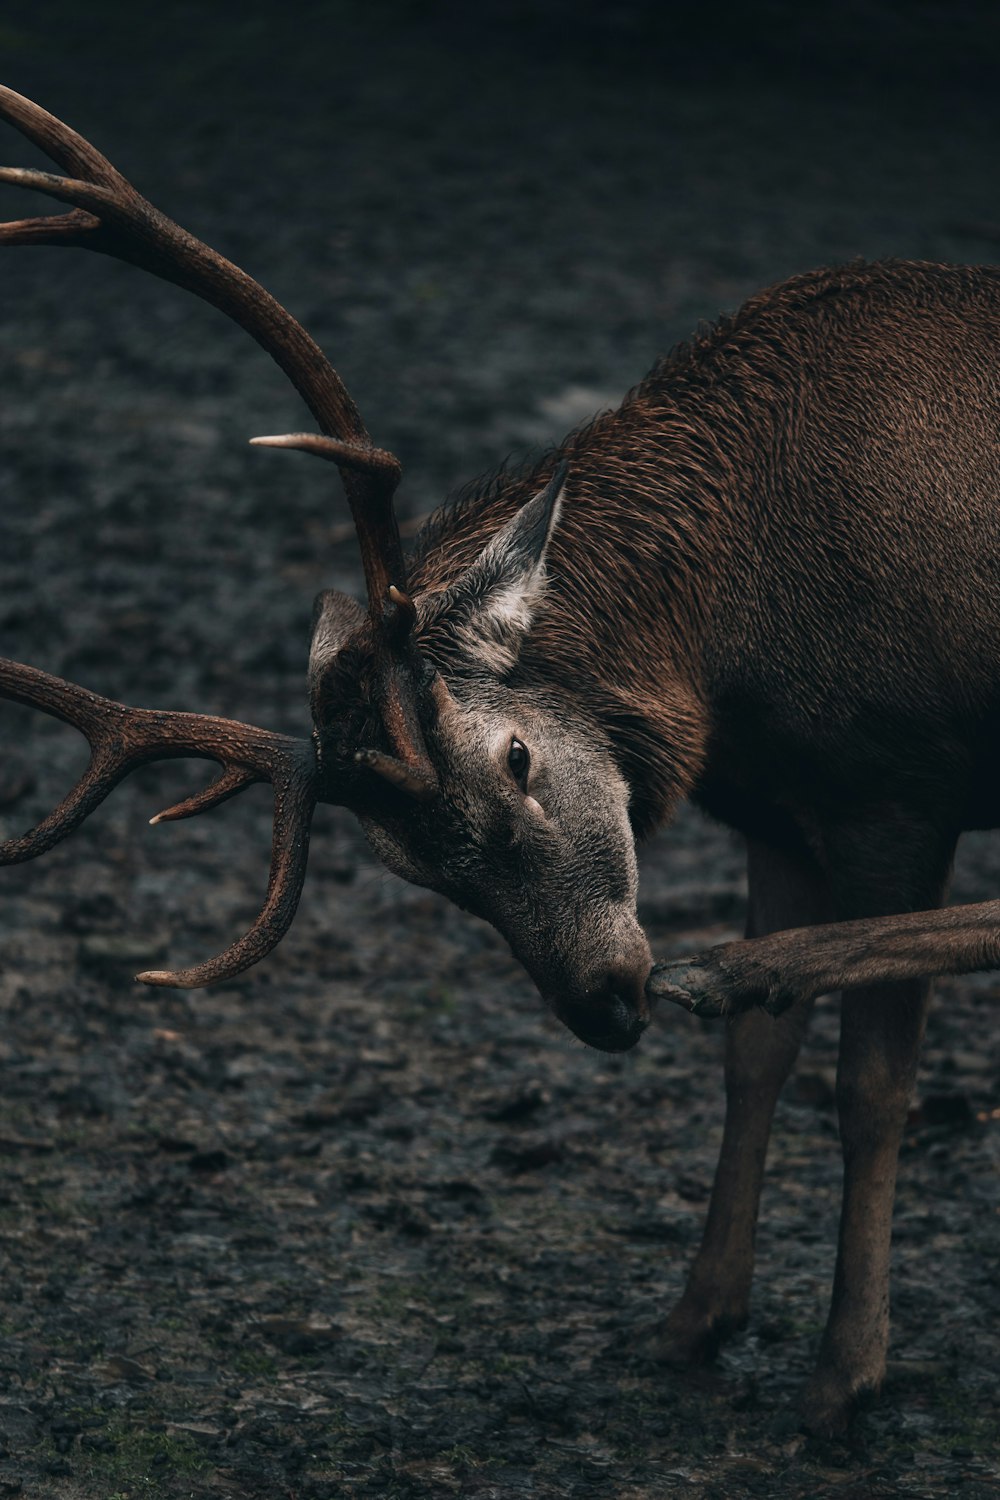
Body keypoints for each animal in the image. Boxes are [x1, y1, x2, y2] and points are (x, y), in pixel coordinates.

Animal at [1, 85, 1000, 1440]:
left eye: (519, 753)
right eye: (418, 872)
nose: (605, 1002)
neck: (732, 651)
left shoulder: (900, 786)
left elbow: (870, 1088)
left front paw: (844, 1373)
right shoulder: (780, 812)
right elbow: (756, 1063)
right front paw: (692, 1323)